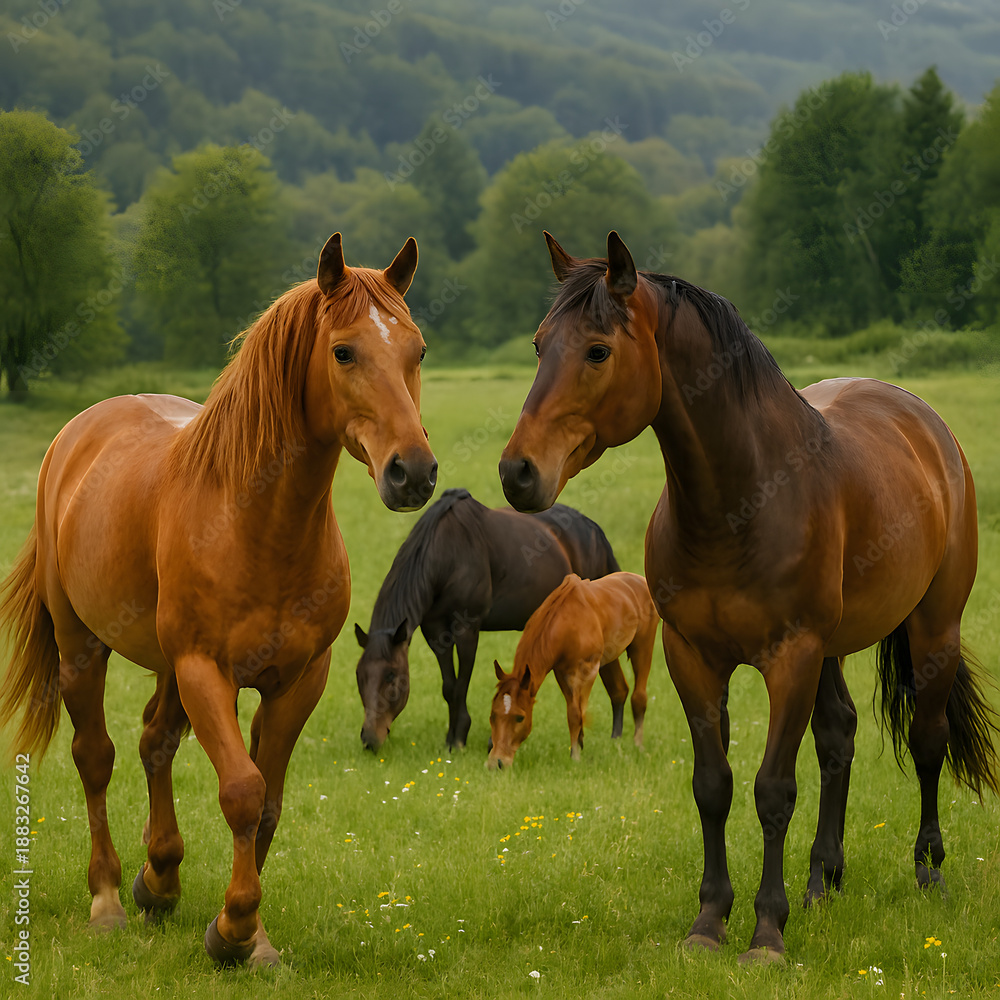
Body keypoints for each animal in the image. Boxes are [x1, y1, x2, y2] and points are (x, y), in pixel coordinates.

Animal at [0, 233, 437, 967]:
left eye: (418, 350)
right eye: (344, 351)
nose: (414, 472)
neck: (257, 523)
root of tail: (77, 434)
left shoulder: (297, 681)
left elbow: (269, 805)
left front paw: (252, 938)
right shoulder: (207, 672)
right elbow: (241, 791)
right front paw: (232, 931)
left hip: (163, 666)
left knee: (154, 742)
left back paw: (160, 880)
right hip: (81, 647)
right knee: (97, 757)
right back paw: (109, 898)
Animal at [354, 487, 620, 750]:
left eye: (391, 675)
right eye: (360, 675)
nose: (369, 739)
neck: (447, 553)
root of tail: (594, 530)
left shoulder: (466, 629)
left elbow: (461, 684)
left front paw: (459, 739)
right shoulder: (435, 631)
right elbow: (449, 686)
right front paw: (451, 737)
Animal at [487, 571, 657, 769]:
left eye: (520, 717)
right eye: (493, 714)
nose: (496, 763)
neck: (567, 622)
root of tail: (640, 579)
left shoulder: (588, 670)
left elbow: (577, 713)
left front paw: (575, 755)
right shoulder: (561, 672)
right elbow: (572, 711)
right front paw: (579, 744)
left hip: (642, 646)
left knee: (639, 697)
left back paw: (638, 745)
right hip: (611, 658)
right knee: (619, 691)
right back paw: (616, 740)